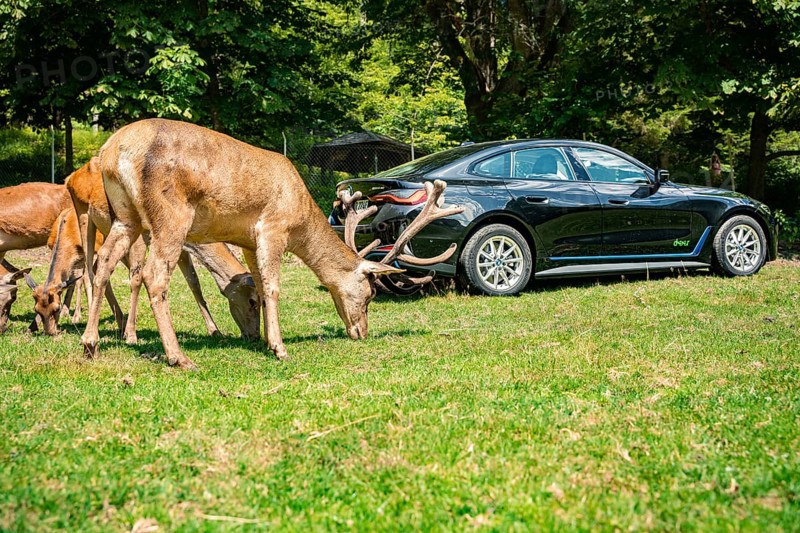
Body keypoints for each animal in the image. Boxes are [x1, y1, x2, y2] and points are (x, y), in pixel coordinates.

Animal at [66, 158, 260, 342]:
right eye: (252, 301)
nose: (254, 336)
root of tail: (70, 177)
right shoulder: (141, 235)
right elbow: (136, 278)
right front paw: (132, 335)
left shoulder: (182, 246)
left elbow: (194, 282)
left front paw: (215, 330)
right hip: (84, 216)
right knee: (88, 271)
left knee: (99, 266)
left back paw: (119, 322)